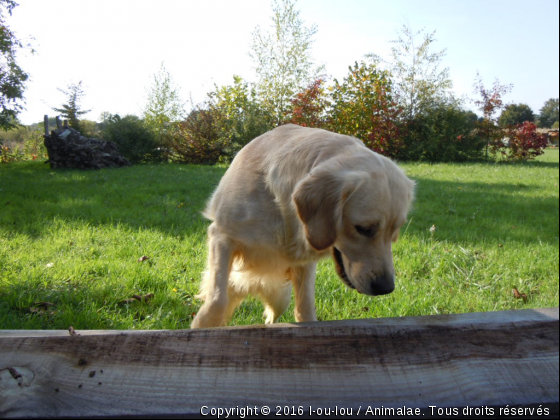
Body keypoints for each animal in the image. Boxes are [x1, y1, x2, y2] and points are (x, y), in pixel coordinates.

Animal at [190, 124, 414, 328]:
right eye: (364, 229)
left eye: (394, 232)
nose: (386, 288)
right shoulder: (221, 237)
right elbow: (217, 299)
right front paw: (205, 322)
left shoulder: (304, 262)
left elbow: (305, 308)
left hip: (280, 298)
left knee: (272, 315)